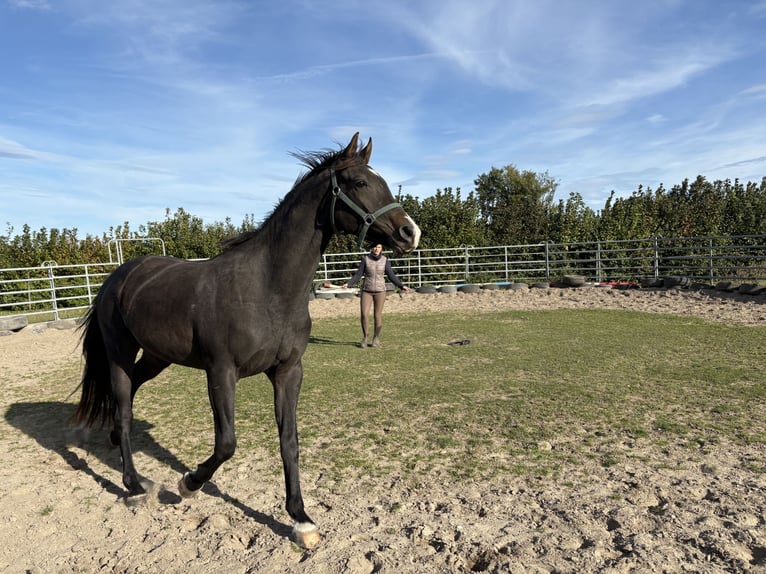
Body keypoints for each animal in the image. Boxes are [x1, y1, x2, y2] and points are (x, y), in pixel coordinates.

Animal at [73, 132, 421, 549]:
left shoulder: (288, 372)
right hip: (120, 354)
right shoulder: (221, 372)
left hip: (157, 357)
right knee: (124, 409)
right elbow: (226, 443)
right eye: (359, 182)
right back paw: (134, 486)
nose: (410, 233)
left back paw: (114, 444)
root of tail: (118, 277)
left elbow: (290, 441)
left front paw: (301, 519)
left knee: (128, 397)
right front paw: (187, 484)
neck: (267, 289)